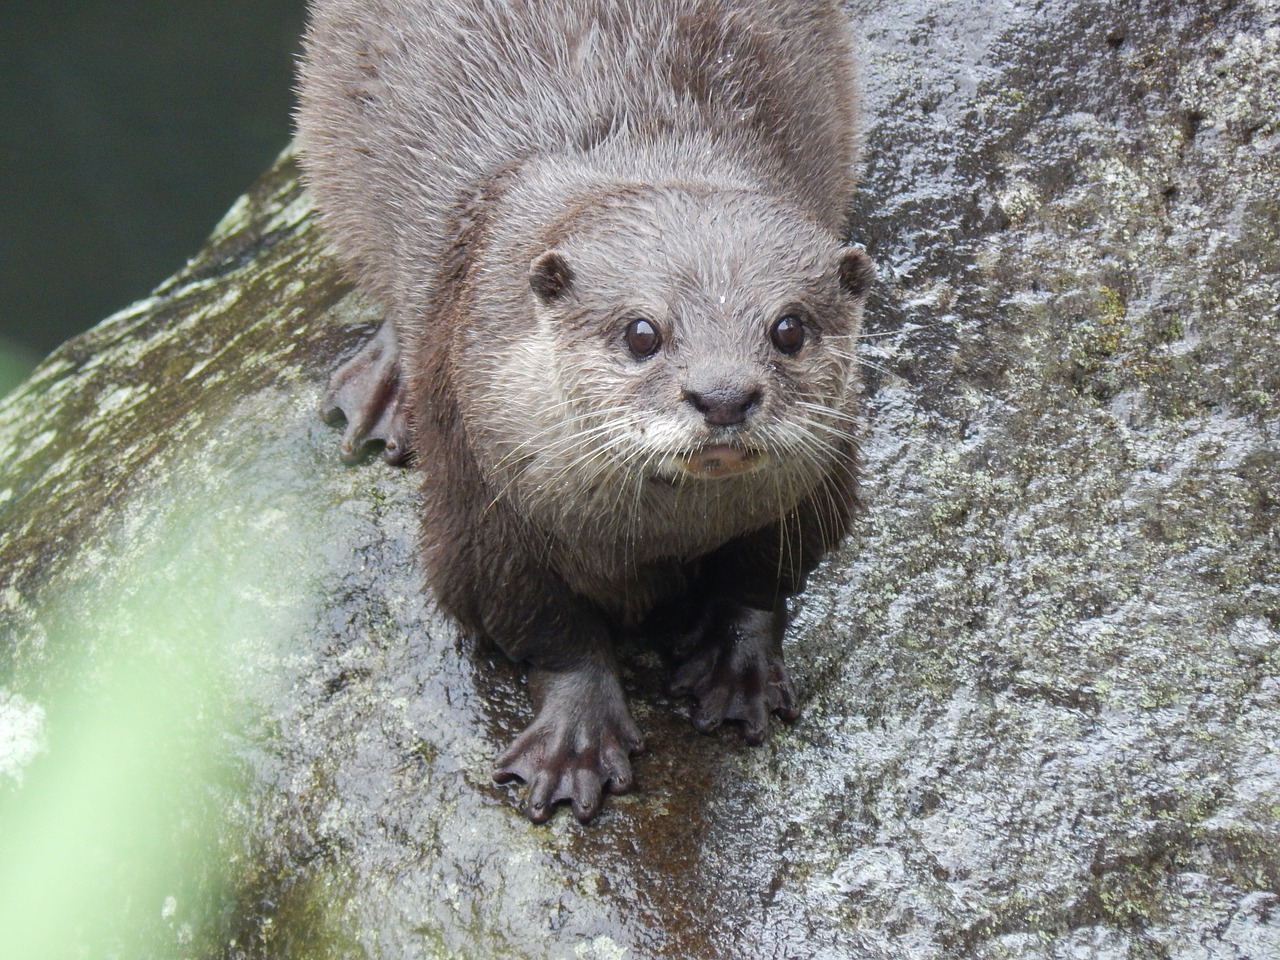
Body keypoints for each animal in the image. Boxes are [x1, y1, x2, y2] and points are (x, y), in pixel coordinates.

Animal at [300, 1, 875, 829]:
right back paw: (382, 386)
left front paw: (736, 668)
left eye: (789, 328)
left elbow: (763, 577)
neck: (659, 536)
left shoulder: (822, 488)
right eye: (641, 332)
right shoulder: (480, 513)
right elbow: (548, 630)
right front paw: (575, 739)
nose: (723, 396)